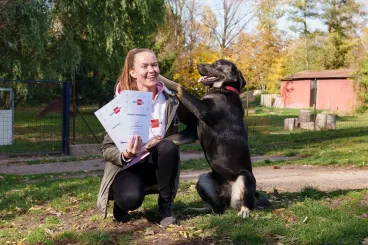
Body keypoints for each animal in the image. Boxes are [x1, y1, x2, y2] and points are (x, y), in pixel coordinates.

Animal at [160, 60, 264, 217]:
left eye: (217, 64)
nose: (198, 65)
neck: (224, 88)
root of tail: (226, 195)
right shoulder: (192, 132)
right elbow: (170, 138)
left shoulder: (202, 110)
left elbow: (179, 87)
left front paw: (161, 77)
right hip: (203, 179)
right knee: (216, 208)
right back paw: (199, 209)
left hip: (245, 178)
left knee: (246, 204)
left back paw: (244, 211)